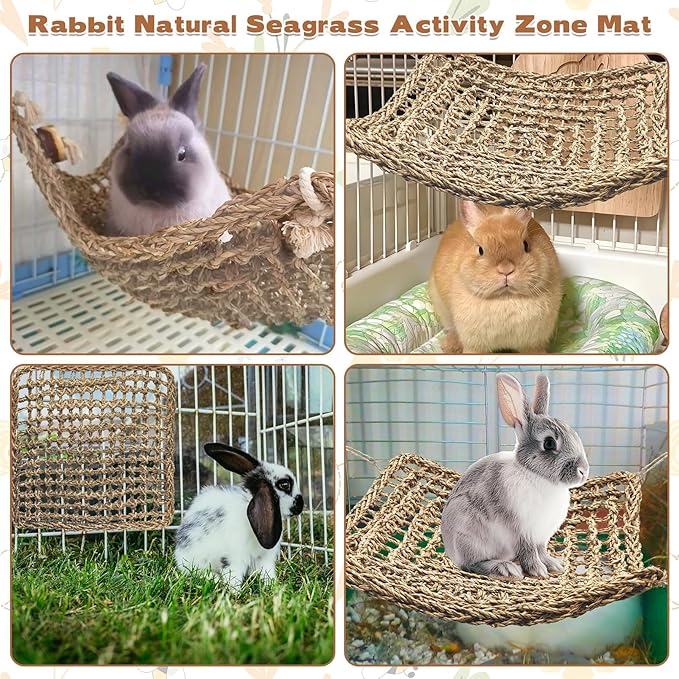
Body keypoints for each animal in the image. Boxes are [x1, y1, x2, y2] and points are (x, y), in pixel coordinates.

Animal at [174, 442, 304, 590]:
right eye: (285, 484)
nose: (301, 504)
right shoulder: (234, 559)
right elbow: (233, 576)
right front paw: (235, 592)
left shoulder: (265, 558)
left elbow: (267, 573)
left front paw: (272, 587)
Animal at [428, 200, 562, 354]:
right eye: (480, 250)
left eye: (526, 245)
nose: (506, 269)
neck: (505, 297)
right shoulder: (474, 345)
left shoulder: (533, 343)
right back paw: (450, 346)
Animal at [441, 373, 589, 579]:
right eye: (549, 443)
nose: (583, 471)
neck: (535, 474)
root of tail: (450, 551)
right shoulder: (522, 531)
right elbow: (529, 552)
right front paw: (538, 570)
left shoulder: (540, 536)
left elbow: (541, 550)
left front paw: (552, 565)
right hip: (469, 536)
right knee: (470, 564)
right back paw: (505, 568)